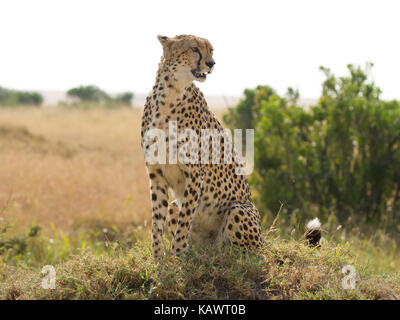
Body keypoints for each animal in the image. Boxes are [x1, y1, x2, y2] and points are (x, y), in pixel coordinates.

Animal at [141, 34, 262, 258]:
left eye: (211, 50)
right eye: (194, 48)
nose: (211, 63)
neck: (170, 94)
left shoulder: (195, 174)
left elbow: (186, 218)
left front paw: (177, 255)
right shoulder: (156, 173)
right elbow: (157, 220)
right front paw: (158, 257)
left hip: (238, 210)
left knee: (246, 251)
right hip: (176, 206)